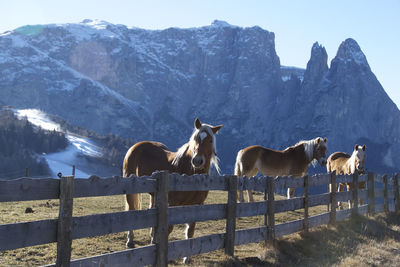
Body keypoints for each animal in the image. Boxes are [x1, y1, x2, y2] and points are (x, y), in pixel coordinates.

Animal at [122, 118, 222, 256]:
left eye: (210, 140)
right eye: (196, 139)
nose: (197, 161)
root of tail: (135, 146)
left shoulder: (197, 205)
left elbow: (190, 232)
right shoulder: (172, 203)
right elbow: (168, 229)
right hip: (131, 190)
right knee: (131, 210)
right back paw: (130, 241)